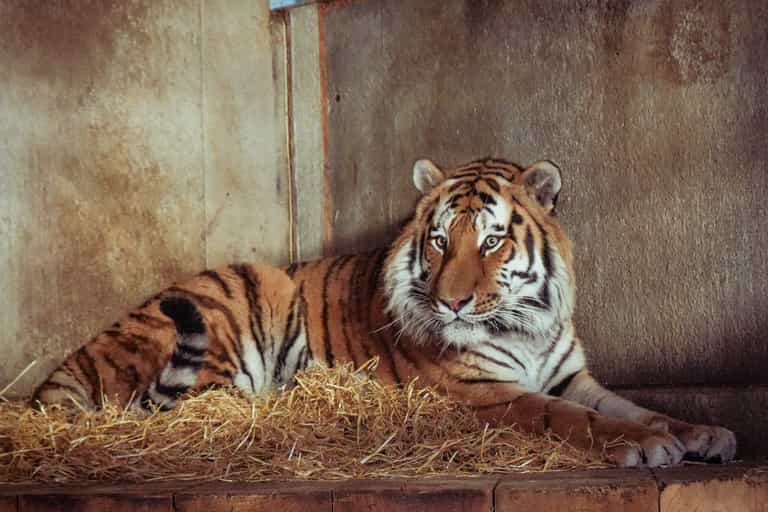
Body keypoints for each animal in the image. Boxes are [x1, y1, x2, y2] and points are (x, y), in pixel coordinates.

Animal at [33, 157, 737, 468]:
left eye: (492, 241)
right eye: (440, 240)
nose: (452, 301)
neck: (526, 327)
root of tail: (72, 362)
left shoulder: (573, 376)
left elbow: (634, 407)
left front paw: (702, 433)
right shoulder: (487, 393)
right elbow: (569, 419)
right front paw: (648, 447)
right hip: (234, 309)